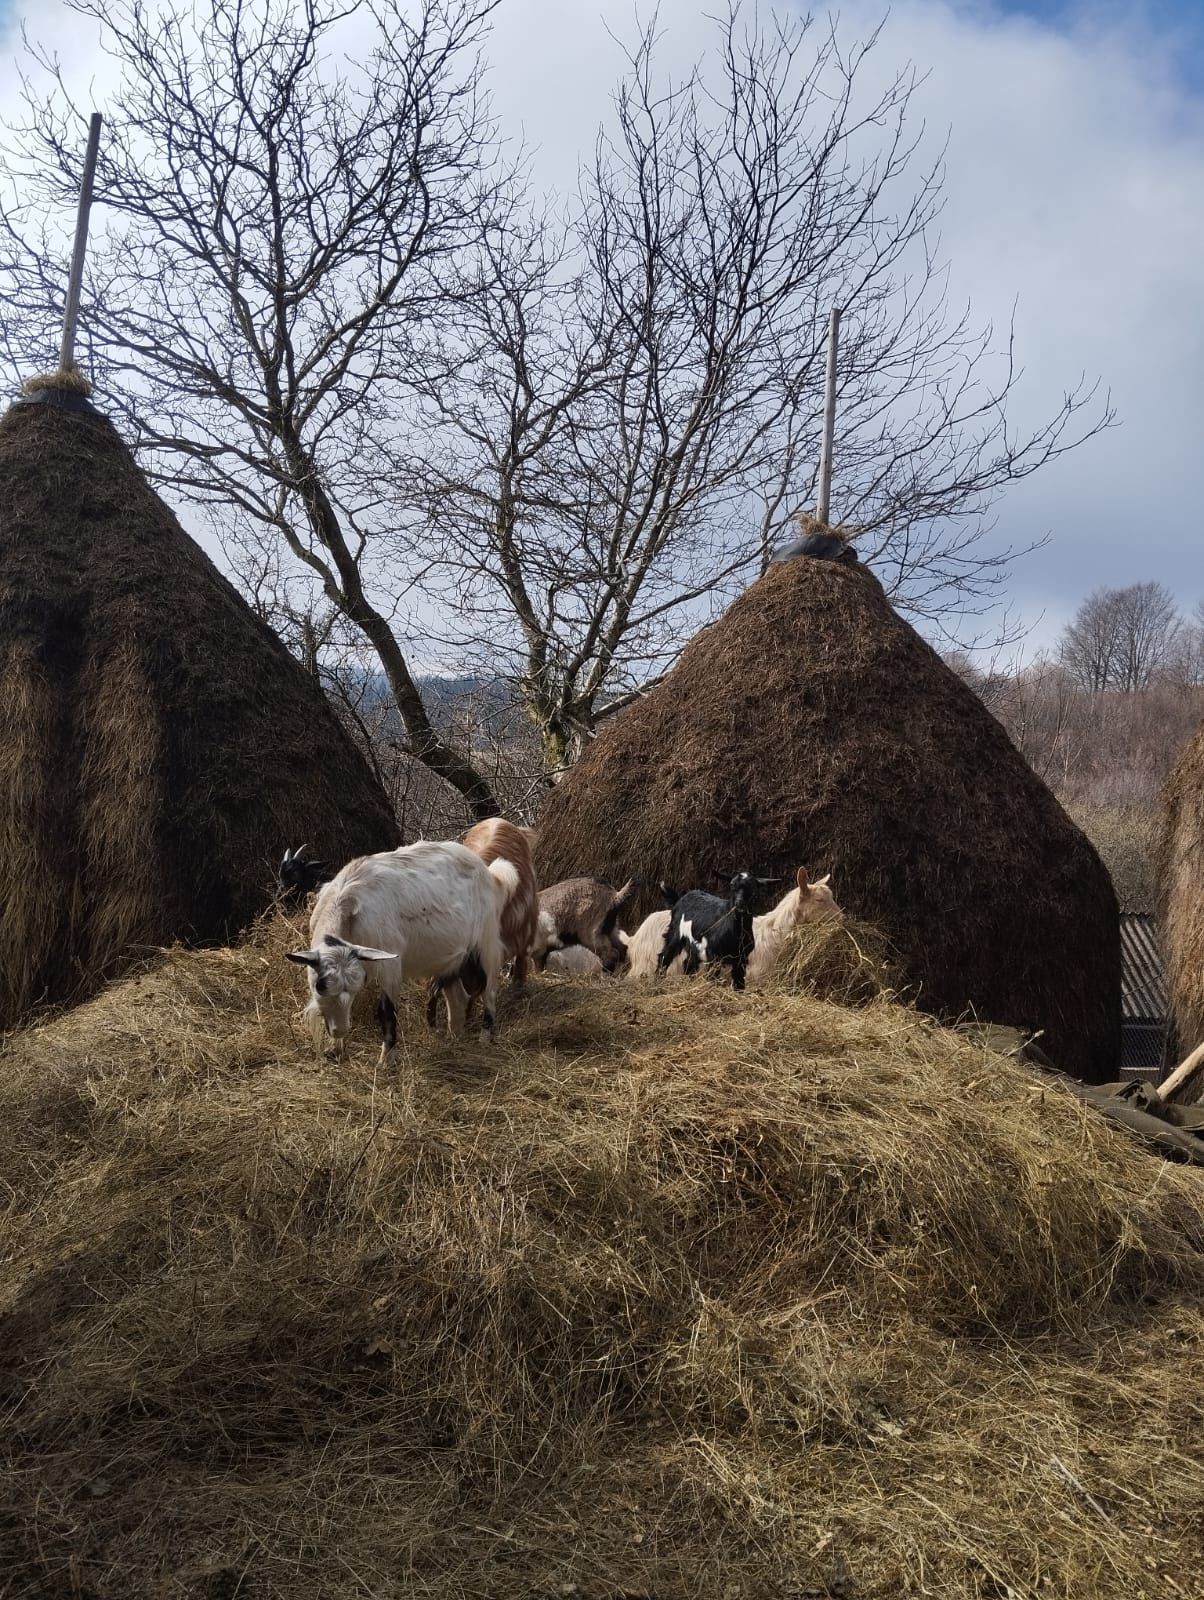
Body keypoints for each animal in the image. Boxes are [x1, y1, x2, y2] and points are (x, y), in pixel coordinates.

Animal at [291, 844, 518, 1056]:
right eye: (321, 986)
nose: (339, 1030)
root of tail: (491, 875)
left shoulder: (390, 963)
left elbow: (387, 1011)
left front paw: (386, 1060)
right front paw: (334, 1048)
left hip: (487, 945)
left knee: (490, 991)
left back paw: (484, 1037)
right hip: (452, 959)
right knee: (458, 998)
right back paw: (455, 1039)